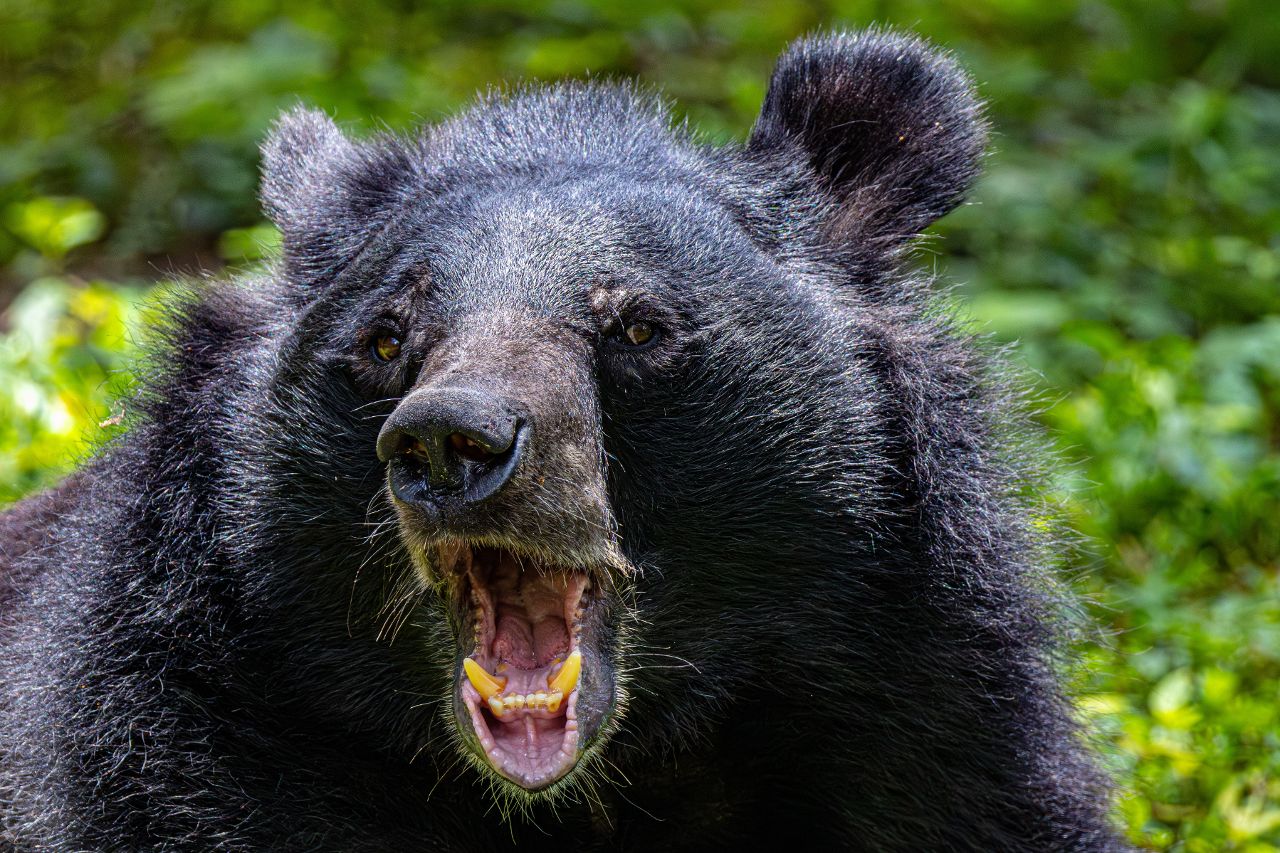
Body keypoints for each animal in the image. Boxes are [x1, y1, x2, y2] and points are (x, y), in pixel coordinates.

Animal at [0, 29, 1129, 852]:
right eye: (384, 338)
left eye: (637, 327)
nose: (446, 444)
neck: (591, 792)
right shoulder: (180, 741)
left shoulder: (929, 719)